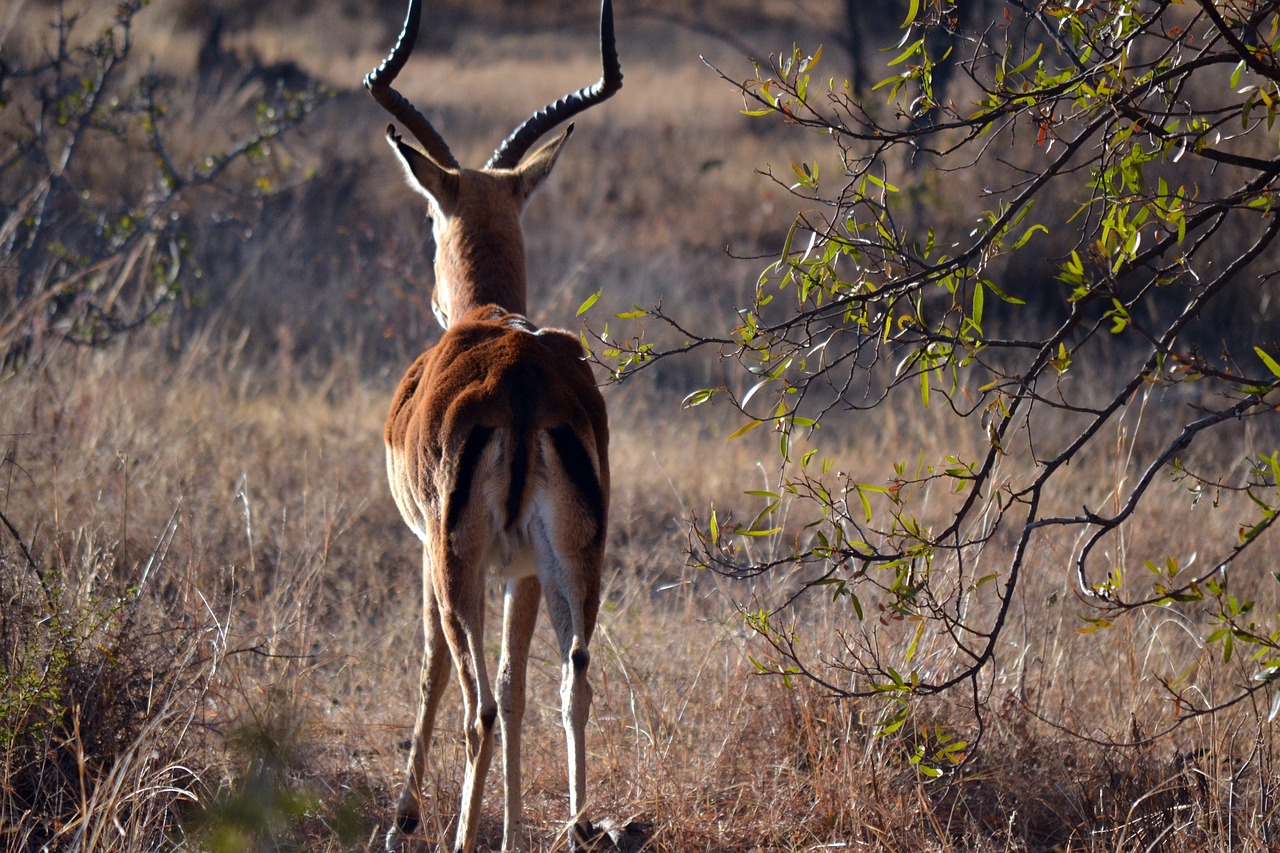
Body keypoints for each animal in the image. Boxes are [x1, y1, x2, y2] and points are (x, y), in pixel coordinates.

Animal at [363, 1, 622, 850]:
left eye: (429, 213)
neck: (488, 315)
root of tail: (521, 385)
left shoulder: (429, 551)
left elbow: (434, 672)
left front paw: (405, 818)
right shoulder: (526, 570)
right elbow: (516, 689)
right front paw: (510, 830)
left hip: (458, 558)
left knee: (474, 698)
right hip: (573, 557)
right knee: (571, 683)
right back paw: (581, 826)